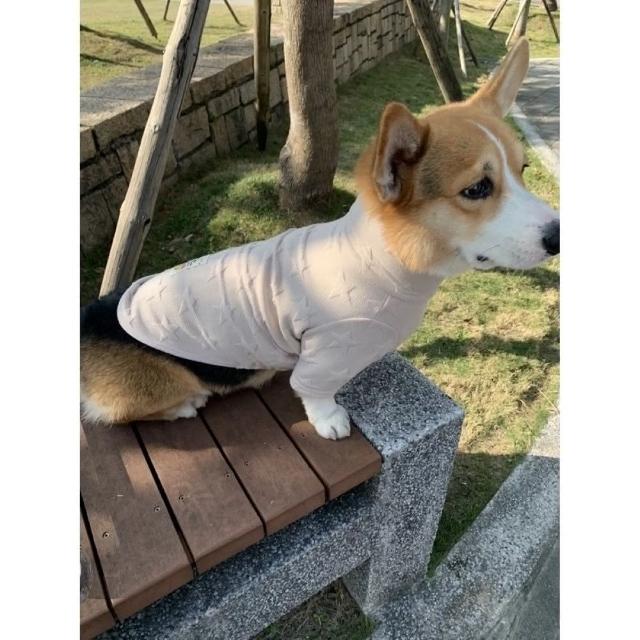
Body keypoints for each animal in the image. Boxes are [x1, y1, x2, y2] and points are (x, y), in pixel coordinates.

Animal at [81, 38, 559, 440]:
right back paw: (186, 404)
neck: (387, 258)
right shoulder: (324, 351)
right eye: (477, 189)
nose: (558, 237)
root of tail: (90, 319)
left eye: (523, 170)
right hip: (165, 383)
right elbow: (313, 389)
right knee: (119, 411)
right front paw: (329, 420)